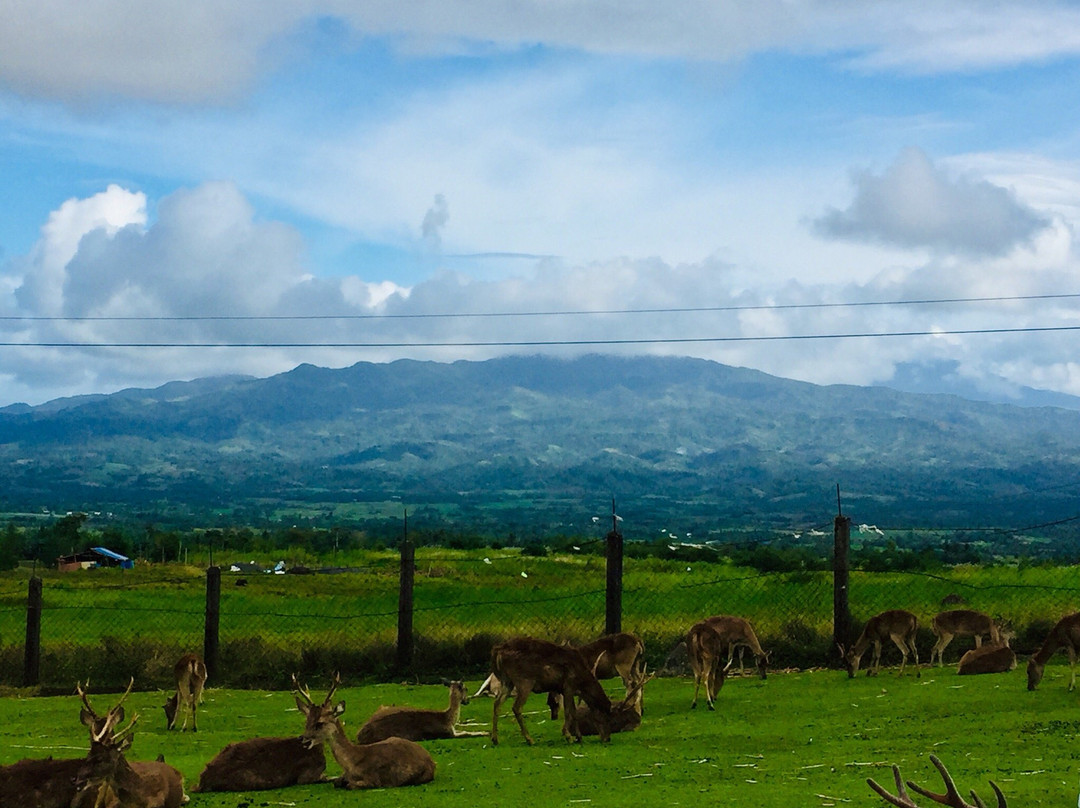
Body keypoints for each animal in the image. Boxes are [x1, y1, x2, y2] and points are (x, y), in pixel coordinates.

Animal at [293, 669, 436, 790]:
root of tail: (431, 759)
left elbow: (350, 785)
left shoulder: (374, 780)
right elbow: (337, 782)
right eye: (307, 722)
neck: (352, 764)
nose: (303, 739)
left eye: (320, 723)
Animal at [354, 678, 486, 743]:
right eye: (466, 689)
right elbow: (467, 733)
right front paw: (485, 732)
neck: (447, 719)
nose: (467, 701)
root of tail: (359, 735)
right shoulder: (447, 733)